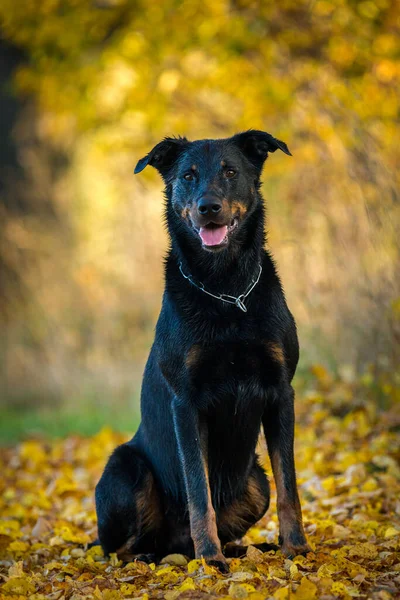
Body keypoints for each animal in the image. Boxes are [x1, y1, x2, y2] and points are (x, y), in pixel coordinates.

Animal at [95, 130, 310, 572]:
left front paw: (295, 548)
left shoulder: (281, 392)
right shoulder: (187, 404)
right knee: (118, 549)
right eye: (188, 175)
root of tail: (172, 545)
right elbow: (199, 491)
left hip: (255, 481)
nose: (207, 207)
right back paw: (158, 557)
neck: (226, 290)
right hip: (126, 470)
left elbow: (289, 484)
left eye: (230, 171)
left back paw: (244, 548)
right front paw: (209, 560)